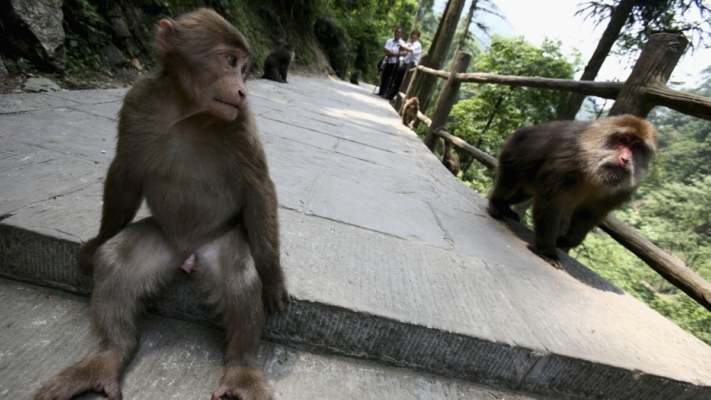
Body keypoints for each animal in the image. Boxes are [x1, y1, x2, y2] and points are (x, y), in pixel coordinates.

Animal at [35, 8, 286, 400]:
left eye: (244, 67)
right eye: (231, 62)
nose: (243, 89)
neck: (187, 111)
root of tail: (186, 253)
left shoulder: (241, 121)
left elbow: (259, 189)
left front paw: (273, 279)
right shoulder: (136, 101)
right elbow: (124, 173)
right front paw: (97, 242)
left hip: (217, 242)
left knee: (240, 275)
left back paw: (242, 368)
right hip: (161, 241)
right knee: (116, 262)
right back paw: (108, 356)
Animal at [486, 115, 660, 268]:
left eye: (636, 147)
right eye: (623, 140)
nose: (626, 159)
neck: (593, 171)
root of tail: (523, 130)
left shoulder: (620, 191)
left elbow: (588, 213)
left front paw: (565, 241)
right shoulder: (567, 163)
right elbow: (552, 202)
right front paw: (548, 252)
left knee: (522, 194)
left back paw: (505, 207)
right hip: (513, 153)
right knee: (510, 181)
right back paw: (496, 202)